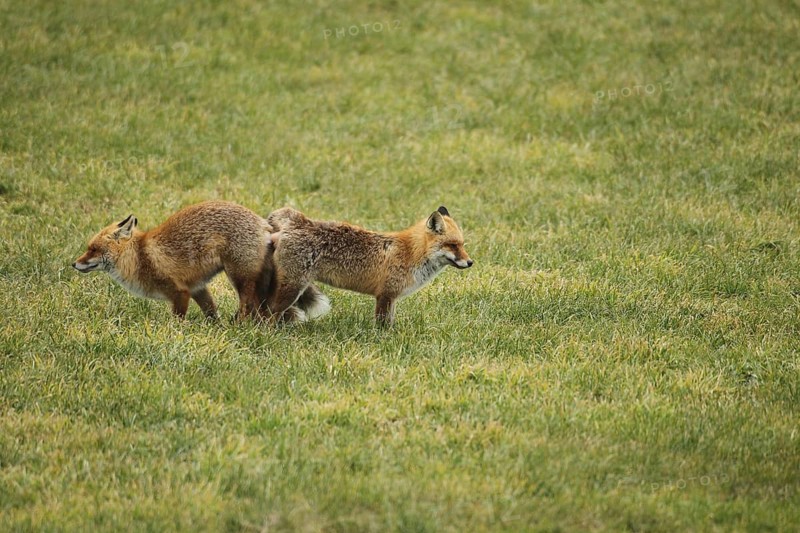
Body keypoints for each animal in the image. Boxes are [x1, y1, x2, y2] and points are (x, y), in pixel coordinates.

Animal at [72, 200, 330, 321]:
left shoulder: (179, 291)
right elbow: (211, 313)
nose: (73, 264)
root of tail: (262, 222)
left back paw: (241, 327)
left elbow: (177, 320)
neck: (140, 257)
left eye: (93, 249)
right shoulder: (197, 288)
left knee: (249, 305)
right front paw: (217, 329)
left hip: (239, 276)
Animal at [266, 205, 473, 325]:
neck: (411, 253)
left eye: (463, 244)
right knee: (270, 311)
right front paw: (384, 341)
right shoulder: (385, 295)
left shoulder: (391, 298)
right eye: (453, 245)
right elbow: (382, 325)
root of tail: (299, 221)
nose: (470, 262)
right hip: (292, 288)